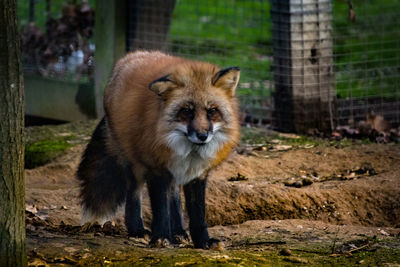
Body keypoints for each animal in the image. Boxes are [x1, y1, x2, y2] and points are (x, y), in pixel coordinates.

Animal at [77, 50, 241, 249]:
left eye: (212, 111)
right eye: (187, 111)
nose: (202, 135)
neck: (189, 154)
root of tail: (130, 57)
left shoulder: (197, 175)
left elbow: (197, 214)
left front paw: (203, 241)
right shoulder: (156, 169)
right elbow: (161, 209)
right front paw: (161, 237)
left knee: (174, 197)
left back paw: (178, 232)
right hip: (134, 164)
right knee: (134, 194)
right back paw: (138, 230)